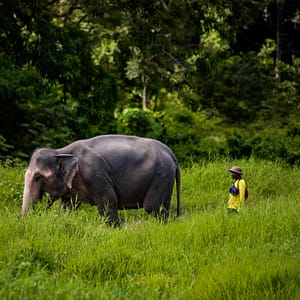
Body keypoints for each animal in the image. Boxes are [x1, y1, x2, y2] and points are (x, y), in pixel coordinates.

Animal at [22, 134, 180, 225]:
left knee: (152, 207)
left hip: (161, 174)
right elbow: (67, 207)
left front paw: (116, 229)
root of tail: (170, 152)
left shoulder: (94, 174)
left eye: (38, 177)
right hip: (166, 178)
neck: (61, 151)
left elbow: (108, 201)